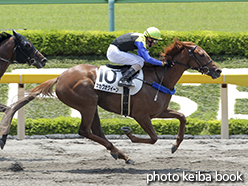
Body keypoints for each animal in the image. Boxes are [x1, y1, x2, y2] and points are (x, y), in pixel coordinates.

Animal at [0, 39, 221, 164]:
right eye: (202, 54)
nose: (218, 70)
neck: (160, 78)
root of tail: (61, 76)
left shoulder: (159, 111)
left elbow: (182, 117)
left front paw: (175, 145)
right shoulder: (141, 115)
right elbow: (153, 137)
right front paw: (129, 133)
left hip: (93, 105)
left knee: (96, 131)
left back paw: (120, 154)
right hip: (87, 104)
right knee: (84, 131)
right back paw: (122, 154)